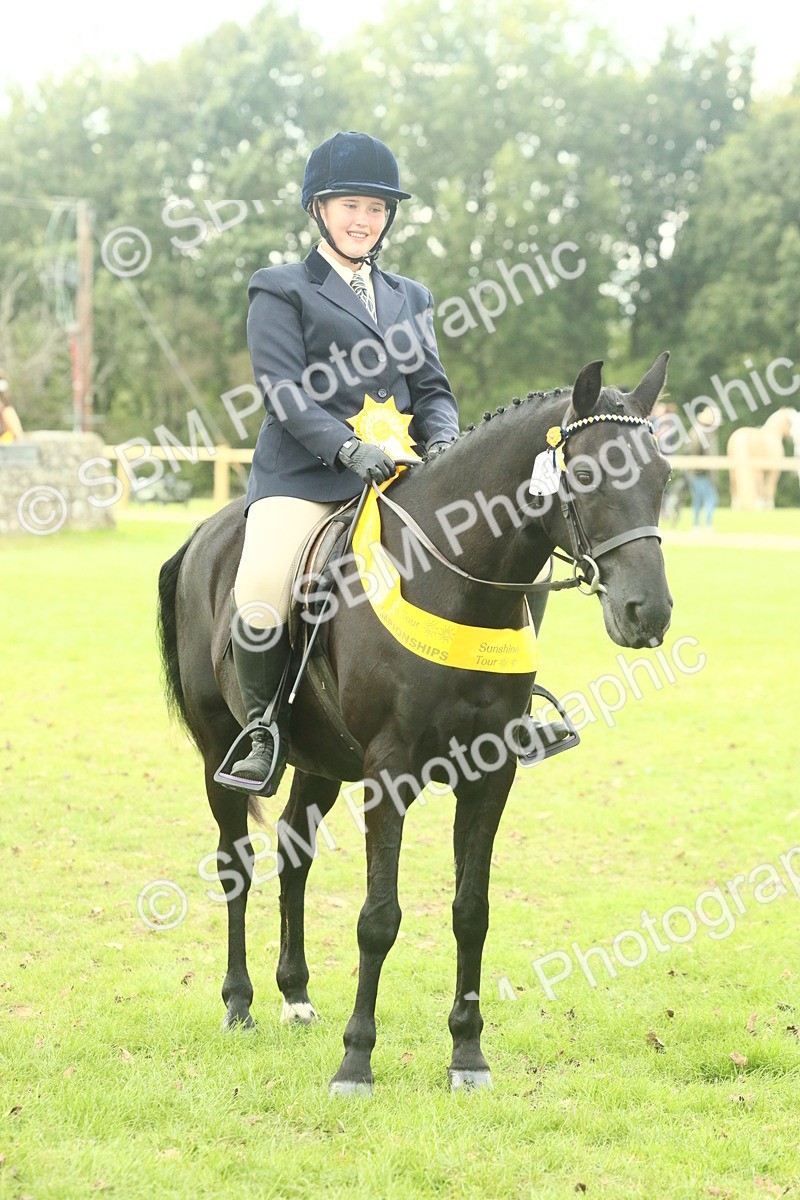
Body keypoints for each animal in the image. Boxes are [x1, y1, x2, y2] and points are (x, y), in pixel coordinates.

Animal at [156, 353, 673, 1095]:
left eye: (663, 477)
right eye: (586, 475)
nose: (647, 612)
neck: (453, 581)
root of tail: (206, 534)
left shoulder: (490, 772)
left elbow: (471, 911)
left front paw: (468, 1054)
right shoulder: (389, 772)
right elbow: (379, 918)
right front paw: (356, 1061)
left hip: (322, 760)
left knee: (292, 851)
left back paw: (296, 995)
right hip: (220, 754)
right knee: (236, 862)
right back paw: (240, 1003)